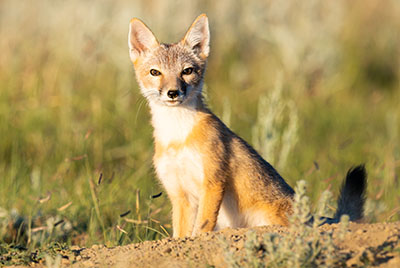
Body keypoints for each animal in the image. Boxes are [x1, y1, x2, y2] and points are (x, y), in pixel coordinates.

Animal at [127, 14, 366, 237]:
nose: (173, 93)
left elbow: (202, 229)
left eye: (187, 71)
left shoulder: (212, 182)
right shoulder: (179, 194)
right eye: (155, 72)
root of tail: (310, 217)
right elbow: (180, 235)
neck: (177, 136)